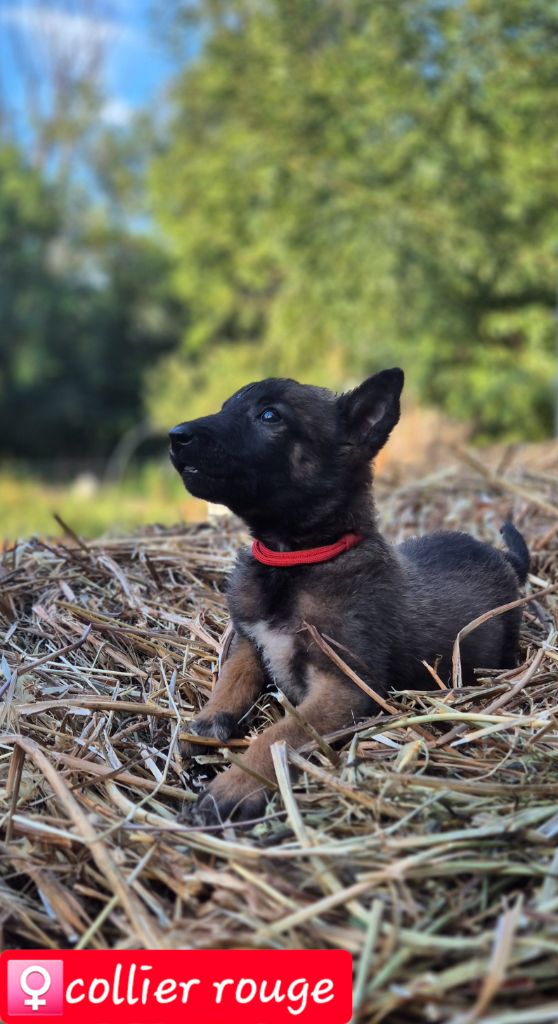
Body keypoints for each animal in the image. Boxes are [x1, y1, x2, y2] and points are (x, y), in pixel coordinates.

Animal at [168, 368, 528, 823]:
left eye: (269, 415)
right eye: (225, 406)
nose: (175, 436)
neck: (296, 560)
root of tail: (501, 555)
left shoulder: (344, 687)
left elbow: (278, 734)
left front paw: (232, 786)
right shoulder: (251, 641)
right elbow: (232, 678)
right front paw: (206, 723)